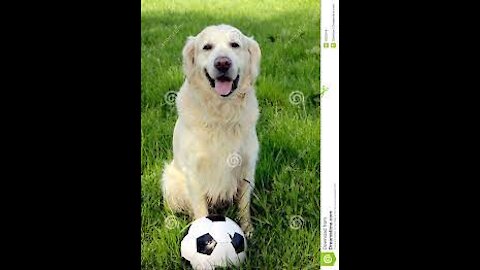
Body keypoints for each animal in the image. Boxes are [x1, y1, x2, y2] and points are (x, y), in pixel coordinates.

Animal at [161, 25, 260, 236]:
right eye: (207, 47)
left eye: (235, 44)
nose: (222, 63)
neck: (221, 112)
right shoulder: (194, 172)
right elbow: (200, 208)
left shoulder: (247, 165)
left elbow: (244, 204)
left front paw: (247, 229)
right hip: (170, 179)